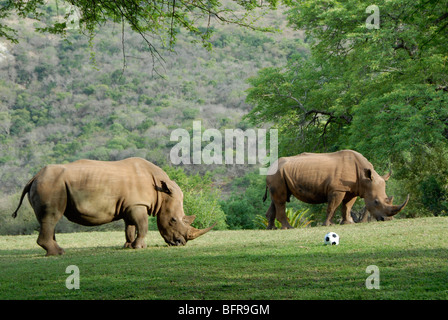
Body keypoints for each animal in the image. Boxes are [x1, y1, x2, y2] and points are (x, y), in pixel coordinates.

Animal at [12, 156, 215, 256]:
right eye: (173, 220)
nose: (180, 243)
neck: (161, 191)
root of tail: (34, 176)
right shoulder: (138, 204)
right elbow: (143, 226)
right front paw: (139, 248)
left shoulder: (130, 205)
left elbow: (130, 227)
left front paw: (128, 246)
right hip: (51, 184)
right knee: (51, 217)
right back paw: (58, 253)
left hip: (49, 183)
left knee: (47, 219)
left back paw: (55, 250)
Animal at [262, 149, 410, 228]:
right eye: (376, 202)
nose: (387, 220)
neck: (364, 178)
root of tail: (271, 166)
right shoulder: (337, 189)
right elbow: (332, 206)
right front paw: (329, 225)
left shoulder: (352, 189)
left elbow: (347, 206)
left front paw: (348, 223)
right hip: (277, 175)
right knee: (281, 200)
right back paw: (288, 228)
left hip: (278, 174)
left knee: (276, 199)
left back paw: (272, 228)